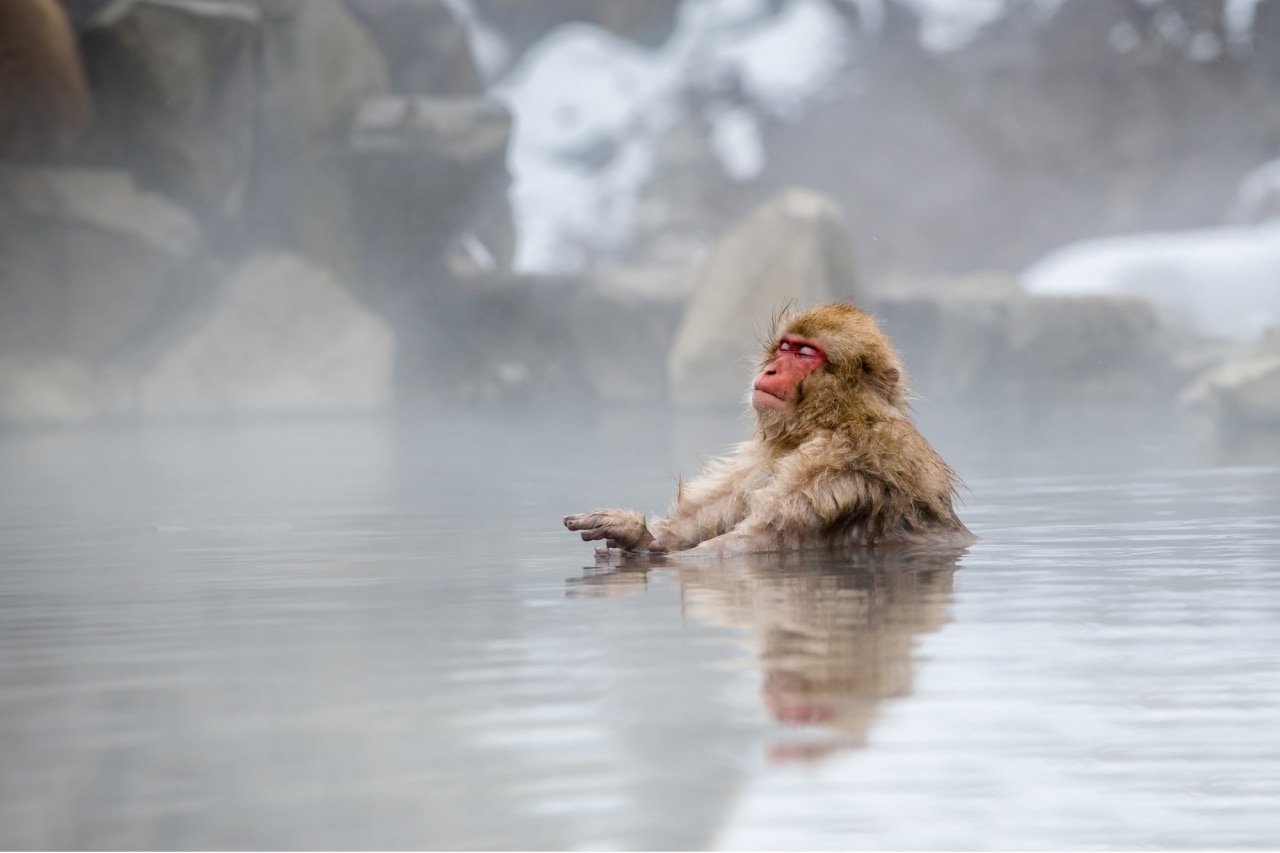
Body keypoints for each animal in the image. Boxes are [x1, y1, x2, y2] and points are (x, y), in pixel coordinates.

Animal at [564, 302, 973, 555]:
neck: (834, 420)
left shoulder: (837, 467)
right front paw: (635, 534)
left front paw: (644, 543)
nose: (772, 370)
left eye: (806, 354)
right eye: (785, 348)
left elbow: (747, 544)